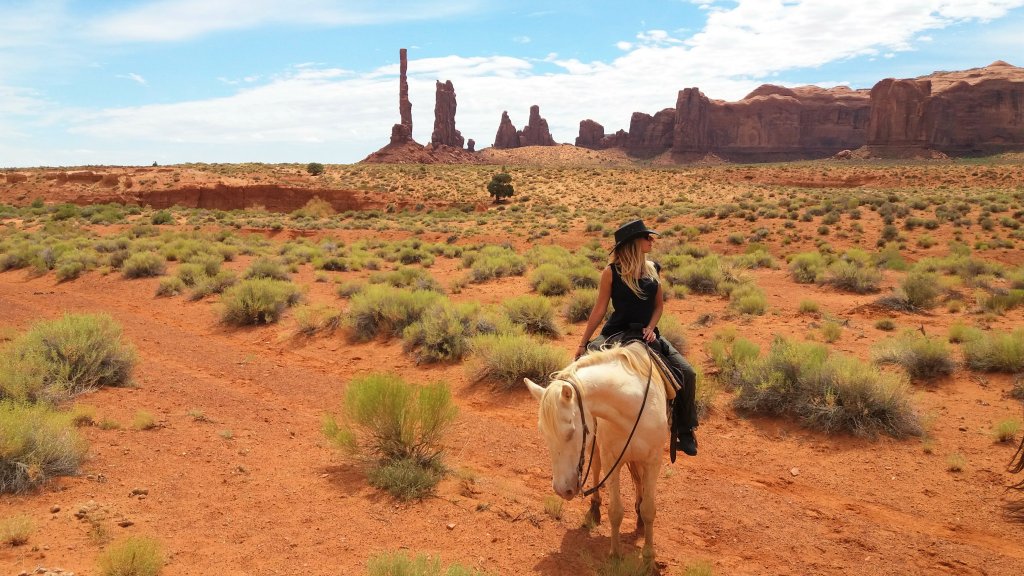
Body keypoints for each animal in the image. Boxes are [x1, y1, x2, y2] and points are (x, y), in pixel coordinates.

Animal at [524, 338, 667, 557]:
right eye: (544, 433)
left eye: (571, 431)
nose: (561, 490)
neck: (633, 409)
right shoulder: (611, 460)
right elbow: (615, 510)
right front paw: (615, 554)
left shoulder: (653, 460)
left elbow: (649, 509)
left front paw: (649, 555)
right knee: (597, 469)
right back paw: (595, 508)